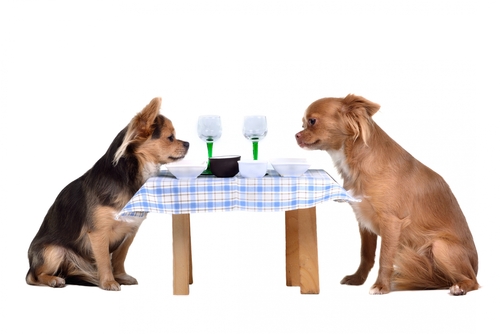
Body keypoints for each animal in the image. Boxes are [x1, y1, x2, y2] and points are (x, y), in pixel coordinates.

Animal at [294, 94, 478, 294]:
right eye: (302, 124)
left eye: (312, 121)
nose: (296, 135)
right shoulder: (364, 222)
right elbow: (366, 255)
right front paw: (357, 279)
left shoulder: (391, 222)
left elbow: (385, 257)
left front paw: (381, 285)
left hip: (439, 246)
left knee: (472, 280)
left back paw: (459, 287)